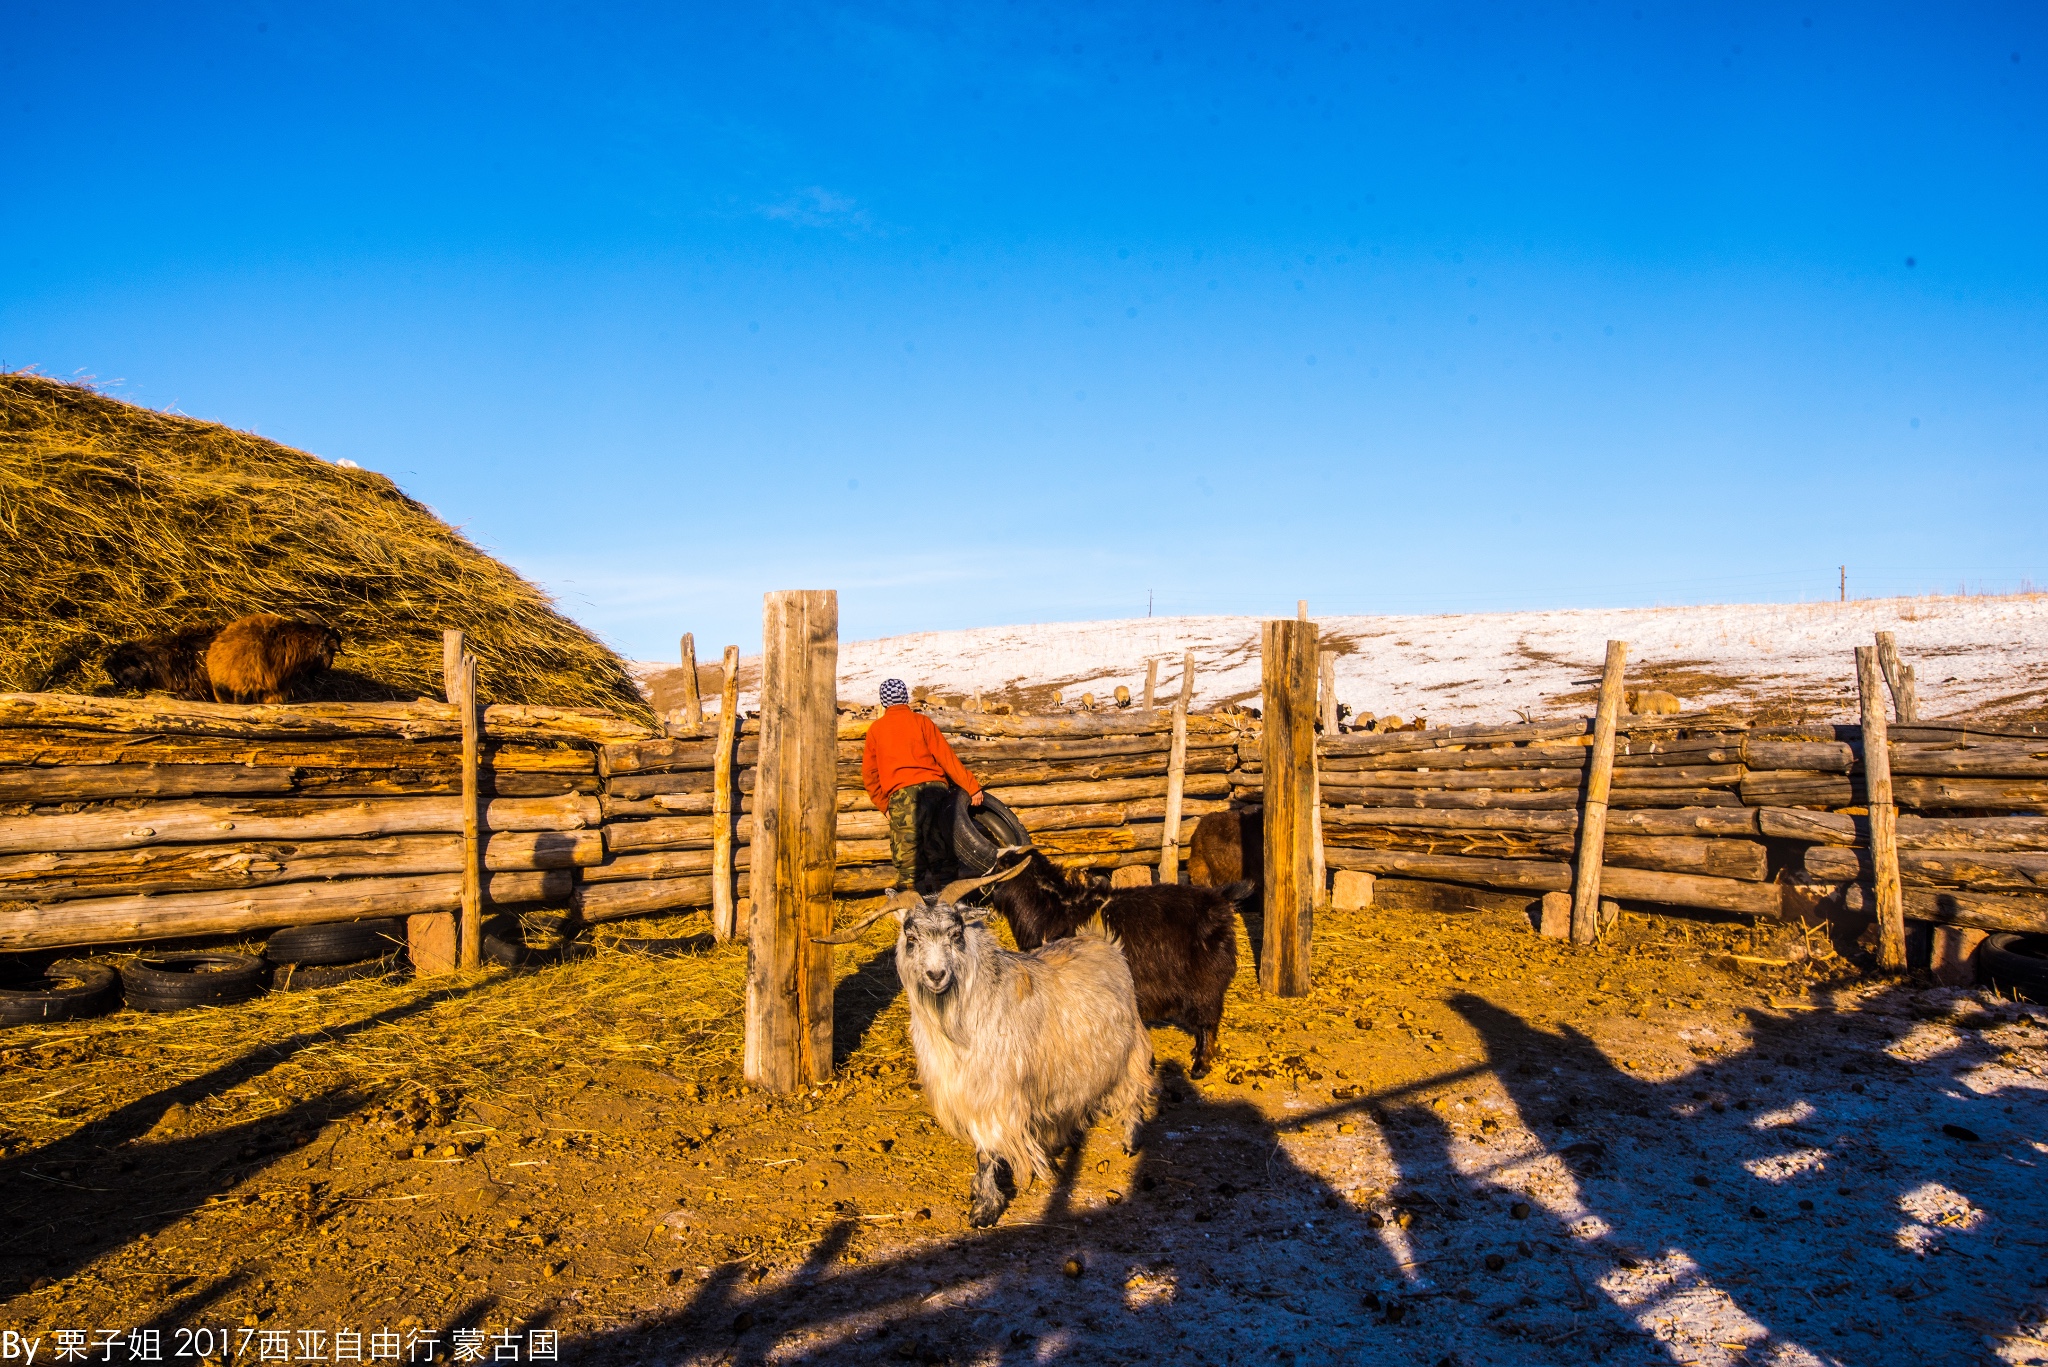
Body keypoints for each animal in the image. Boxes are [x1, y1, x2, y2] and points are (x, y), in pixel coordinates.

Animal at [823, 873, 1163, 1237]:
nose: (936, 975)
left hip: (1129, 1051)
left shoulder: (994, 1094)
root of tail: (1101, 940)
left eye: (956, 934)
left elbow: (986, 1151)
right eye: (911, 937)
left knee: (1133, 1091)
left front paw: (984, 1209)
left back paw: (1131, 1141)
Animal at [978, 844, 1245, 1082]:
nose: (981, 881)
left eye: (1002, 865)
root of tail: (1218, 900)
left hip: (1206, 983)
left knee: (1207, 1023)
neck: (1053, 910)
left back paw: (1200, 1066)